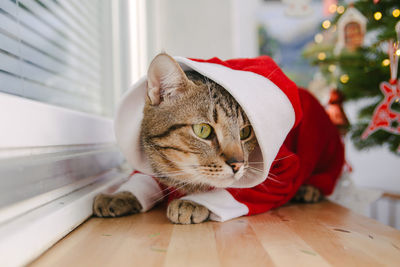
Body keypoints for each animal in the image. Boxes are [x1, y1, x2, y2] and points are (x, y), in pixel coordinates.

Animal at [94, 53, 328, 225]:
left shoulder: (280, 175)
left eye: (245, 132)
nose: (238, 164)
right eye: (203, 130)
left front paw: (193, 202)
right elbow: (143, 179)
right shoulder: (148, 167)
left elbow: (239, 190)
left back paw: (309, 189)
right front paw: (119, 195)